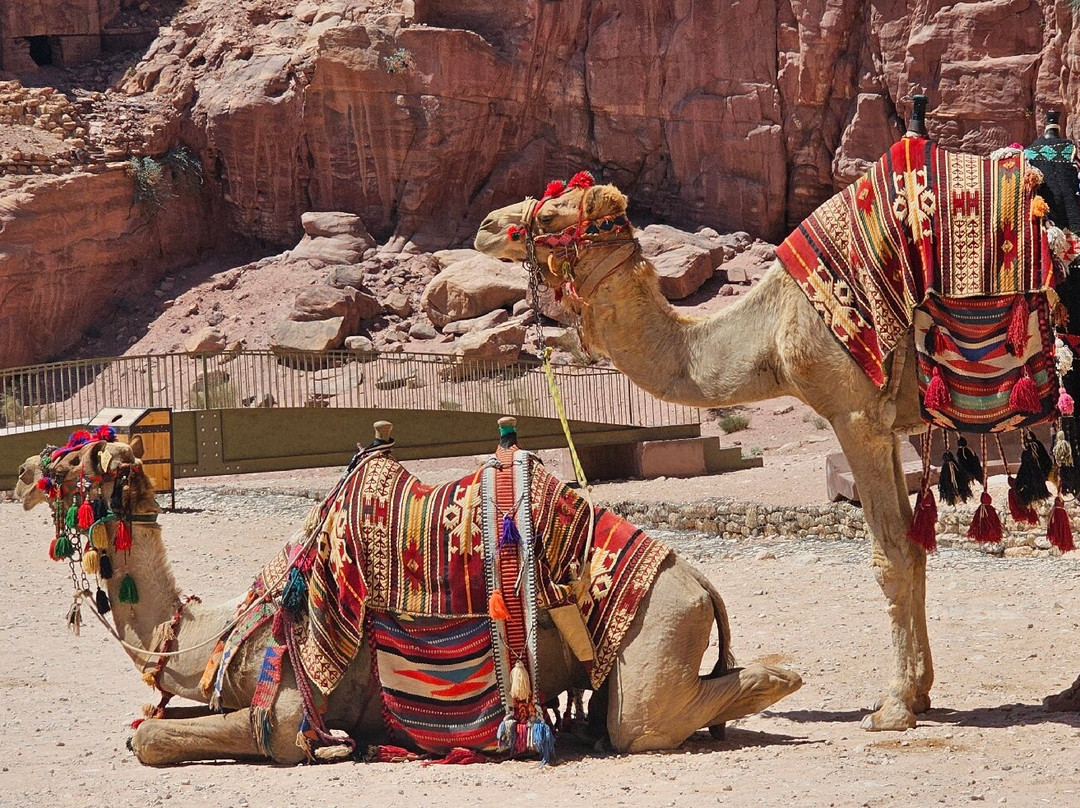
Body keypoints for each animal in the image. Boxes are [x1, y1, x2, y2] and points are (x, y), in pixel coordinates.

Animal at [17, 430, 800, 765]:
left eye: (78, 457)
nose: (23, 470)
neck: (222, 636)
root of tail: (699, 579)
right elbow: (147, 722)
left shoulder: (291, 705)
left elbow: (155, 739)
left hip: (657, 633)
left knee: (646, 721)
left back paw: (781, 676)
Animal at [473, 177, 1080, 731]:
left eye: (549, 214)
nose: (485, 226)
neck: (772, 330)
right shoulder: (882, 422)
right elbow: (914, 548)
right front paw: (921, 691)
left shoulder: (853, 411)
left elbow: (892, 555)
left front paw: (894, 707)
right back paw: (1066, 695)